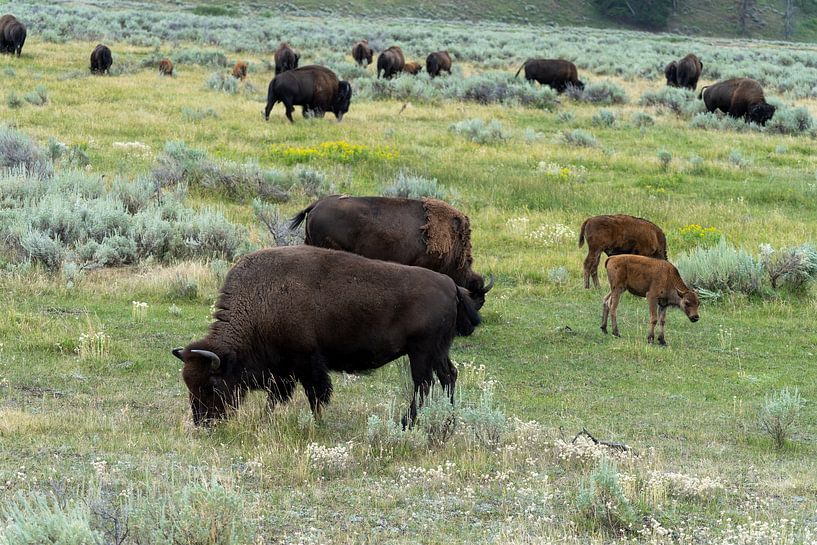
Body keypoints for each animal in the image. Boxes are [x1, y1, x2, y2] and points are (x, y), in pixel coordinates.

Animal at [172, 246, 482, 426]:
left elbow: (316, 394)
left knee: (423, 383)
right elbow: (277, 397)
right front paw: (266, 419)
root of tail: (452, 286)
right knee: (448, 376)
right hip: (438, 351)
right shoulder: (283, 370)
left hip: (421, 352)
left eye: (213, 384)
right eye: (189, 383)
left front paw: (317, 422)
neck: (259, 301)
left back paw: (408, 422)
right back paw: (448, 419)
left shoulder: (307, 362)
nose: (203, 422)